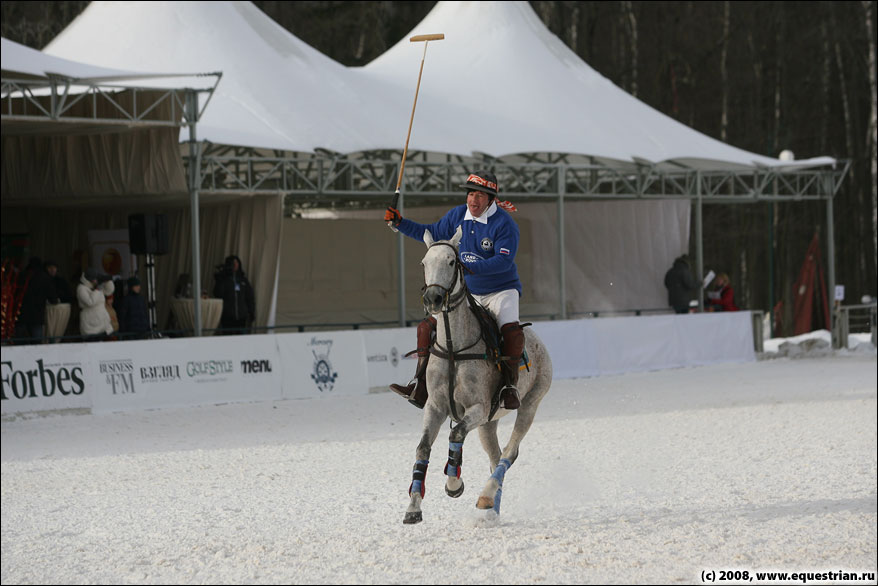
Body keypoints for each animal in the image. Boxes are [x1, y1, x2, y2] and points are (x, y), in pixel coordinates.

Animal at [404, 226, 552, 524]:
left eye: (452, 262)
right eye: (424, 263)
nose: (433, 300)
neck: (453, 347)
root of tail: (536, 337)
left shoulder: (478, 408)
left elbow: (456, 434)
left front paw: (454, 484)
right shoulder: (435, 407)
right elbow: (423, 447)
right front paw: (413, 508)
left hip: (529, 403)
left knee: (509, 452)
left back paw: (486, 497)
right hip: (488, 424)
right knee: (495, 456)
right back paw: (492, 509)